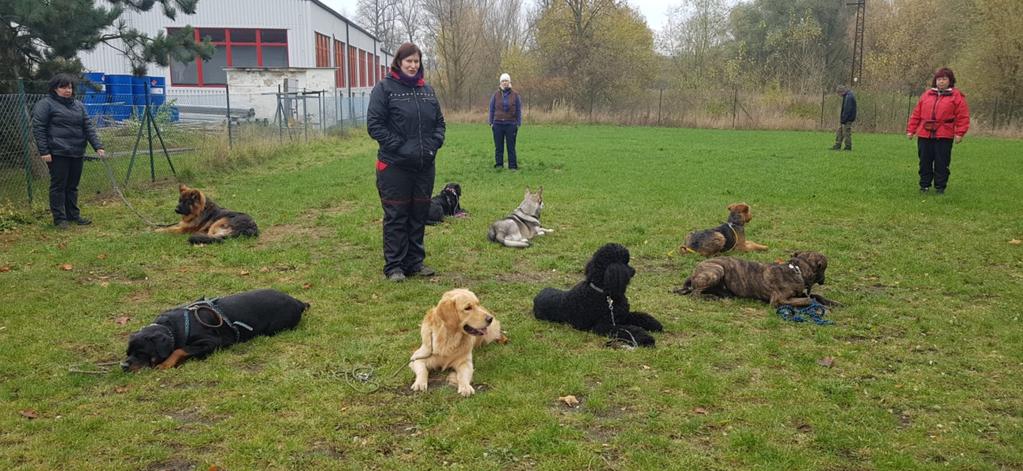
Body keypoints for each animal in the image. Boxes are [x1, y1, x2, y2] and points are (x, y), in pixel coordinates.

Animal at [122, 286, 306, 370]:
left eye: (141, 353)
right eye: (128, 352)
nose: (123, 366)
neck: (173, 328)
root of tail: (298, 302)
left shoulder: (212, 341)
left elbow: (179, 349)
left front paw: (165, 364)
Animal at [531, 242, 666, 346]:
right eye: (625, 263)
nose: (634, 271)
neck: (604, 293)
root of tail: (536, 297)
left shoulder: (622, 315)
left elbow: (639, 316)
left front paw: (654, 324)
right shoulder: (603, 326)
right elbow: (627, 329)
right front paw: (646, 338)